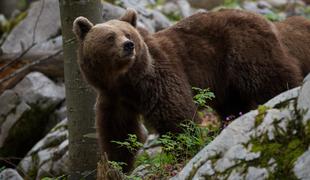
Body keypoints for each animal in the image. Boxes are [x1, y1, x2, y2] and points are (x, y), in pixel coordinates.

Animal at [74, 8, 310, 172]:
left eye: (128, 33)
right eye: (110, 37)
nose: (128, 46)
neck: (125, 80)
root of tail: (269, 22)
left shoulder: (157, 78)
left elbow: (175, 115)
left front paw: (184, 151)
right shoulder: (113, 98)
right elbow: (118, 133)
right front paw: (116, 165)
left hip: (245, 51)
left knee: (273, 80)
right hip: (226, 82)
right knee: (234, 105)